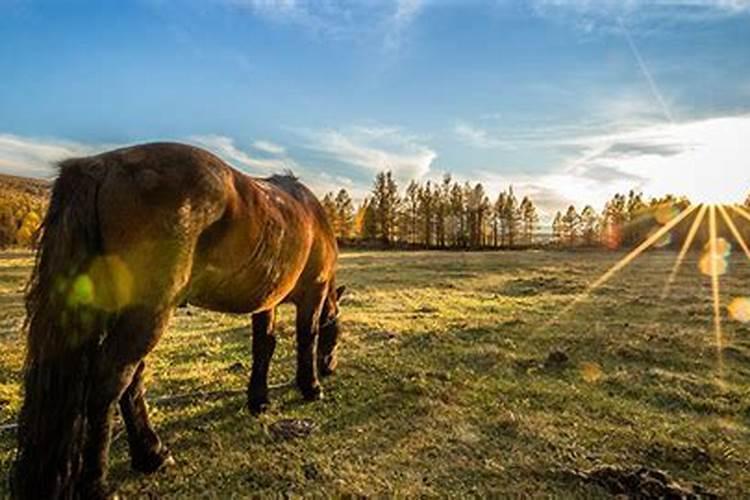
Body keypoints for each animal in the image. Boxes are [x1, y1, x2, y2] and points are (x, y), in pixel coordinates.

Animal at [10, 143, 346, 498]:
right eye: (337, 333)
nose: (330, 367)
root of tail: (101, 165)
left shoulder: (265, 301)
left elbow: (263, 347)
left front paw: (259, 400)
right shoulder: (313, 293)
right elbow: (307, 336)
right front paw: (311, 387)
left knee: (131, 378)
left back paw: (151, 454)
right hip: (149, 314)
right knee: (111, 380)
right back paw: (97, 482)